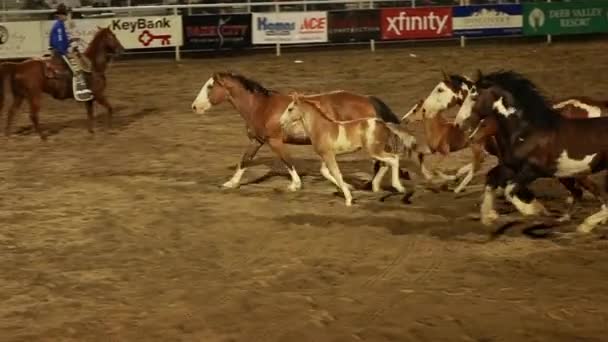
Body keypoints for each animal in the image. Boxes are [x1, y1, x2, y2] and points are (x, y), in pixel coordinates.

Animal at [191, 72, 408, 192]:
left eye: (210, 86)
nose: (194, 107)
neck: (261, 107)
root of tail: (367, 99)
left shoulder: (275, 141)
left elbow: (287, 161)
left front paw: (295, 185)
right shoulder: (257, 140)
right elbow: (245, 160)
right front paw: (231, 183)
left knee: (382, 162)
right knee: (383, 162)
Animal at [280, 92, 422, 206]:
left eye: (290, 109)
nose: (281, 122)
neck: (321, 128)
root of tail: (383, 124)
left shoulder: (328, 155)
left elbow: (336, 173)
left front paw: (348, 199)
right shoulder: (326, 155)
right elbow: (325, 172)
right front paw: (349, 187)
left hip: (374, 151)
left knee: (393, 159)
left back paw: (398, 187)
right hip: (378, 150)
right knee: (388, 162)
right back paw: (377, 187)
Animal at [458, 71, 608, 234]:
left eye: (474, 96)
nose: (460, 123)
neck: (527, 132)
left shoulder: (532, 171)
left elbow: (509, 189)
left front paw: (533, 210)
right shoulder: (511, 167)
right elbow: (492, 178)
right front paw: (488, 217)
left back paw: (586, 224)